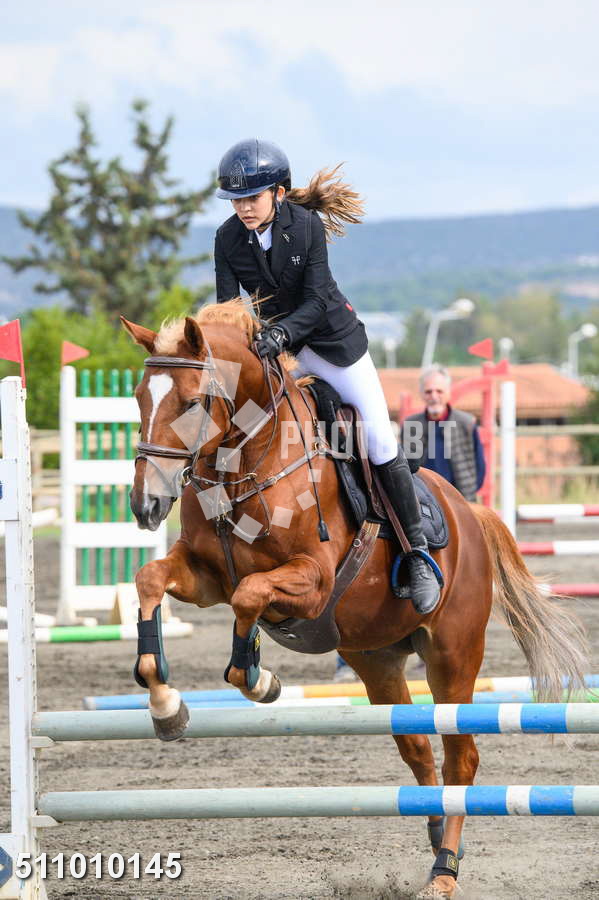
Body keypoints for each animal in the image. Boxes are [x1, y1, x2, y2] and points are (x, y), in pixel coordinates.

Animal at [122, 300, 587, 900]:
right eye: (139, 397)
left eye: (192, 402)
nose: (147, 505)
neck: (246, 462)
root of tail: (470, 513)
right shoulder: (205, 579)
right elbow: (149, 580)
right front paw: (165, 705)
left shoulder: (311, 581)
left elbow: (250, 597)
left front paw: (260, 680)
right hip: (378, 659)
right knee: (417, 748)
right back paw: (434, 831)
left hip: (453, 655)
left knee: (461, 757)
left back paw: (445, 869)